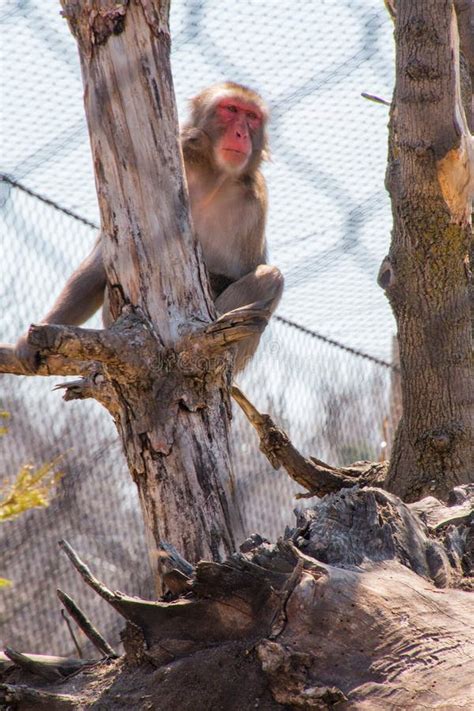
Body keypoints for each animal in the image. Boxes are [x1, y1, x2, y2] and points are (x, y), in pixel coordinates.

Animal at [14, 82, 284, 372]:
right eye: (231, 109)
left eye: (252, 116)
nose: (241, 133)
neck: (211, 179)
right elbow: (102, 261)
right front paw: (31, 339)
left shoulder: (254, 206)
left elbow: (238, 273)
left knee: (270, 277)